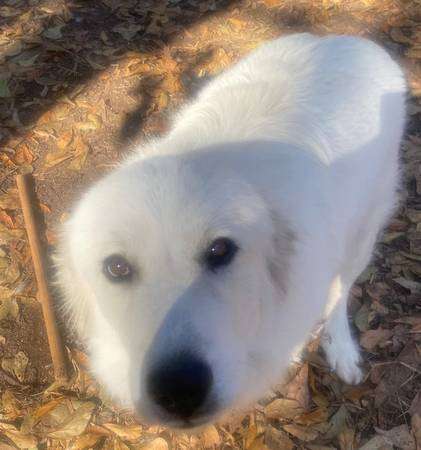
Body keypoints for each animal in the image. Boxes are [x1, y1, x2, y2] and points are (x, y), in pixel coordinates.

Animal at [55, 34, 404, 428]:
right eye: (116, 267)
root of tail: (353, 41)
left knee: (341, 294)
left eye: (220, 250)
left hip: (362, 234)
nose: (180, 390)